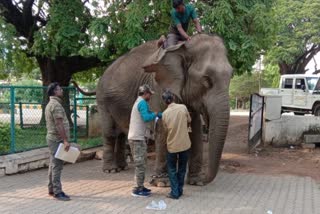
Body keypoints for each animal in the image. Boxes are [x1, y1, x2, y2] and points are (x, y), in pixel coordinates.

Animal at [75, 33, 232, 186]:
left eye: (231, 76)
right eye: (207, 80)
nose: (205, 179)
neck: (182, 48)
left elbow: (195, 129)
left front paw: (196, 181)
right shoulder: (159, 87)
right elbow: (163, 129)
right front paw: (162, 183)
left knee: (121, 133)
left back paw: (122, 167)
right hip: (103, 100)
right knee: (110, 132)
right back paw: (111, 170)